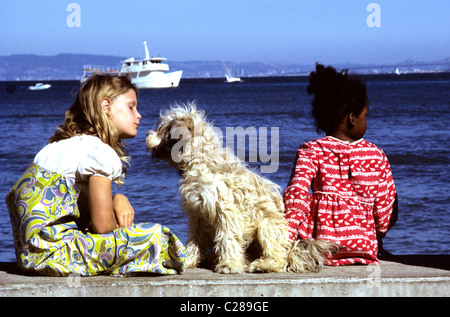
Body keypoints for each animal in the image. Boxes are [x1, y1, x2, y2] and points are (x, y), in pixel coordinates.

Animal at [145, 102, 334, 272]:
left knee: (279, 258)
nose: (146, 133)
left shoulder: (226, 210)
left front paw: (228, 265)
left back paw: (263, 265)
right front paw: (189, 259)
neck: (202, 160)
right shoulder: (197, 212)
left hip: (267, 225)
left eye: (162, 127)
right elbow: (195, 240)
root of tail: (293, 248)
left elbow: (227, 238)